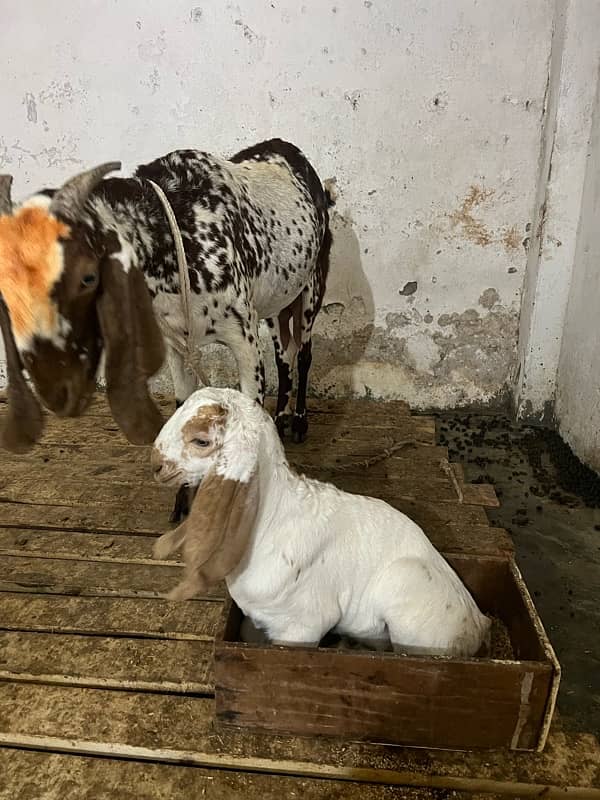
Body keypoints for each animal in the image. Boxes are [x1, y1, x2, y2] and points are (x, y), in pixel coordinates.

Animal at [0, 139, 332, 520]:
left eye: (86, 276)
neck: (176, 237)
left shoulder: (244, 340)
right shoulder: (175, 343)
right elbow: (184, 408)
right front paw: (184, 501)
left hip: (311, 289)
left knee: (303, 355)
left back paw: (300, 422)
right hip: (276, 305)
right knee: (284, 357)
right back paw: (280, 419)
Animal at [151, 388, 492, 656]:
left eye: (201, 441)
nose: (155, 465)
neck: (271, 522)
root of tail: (479, 622)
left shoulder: (304, 626)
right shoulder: (256, 623)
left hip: (408, 600)